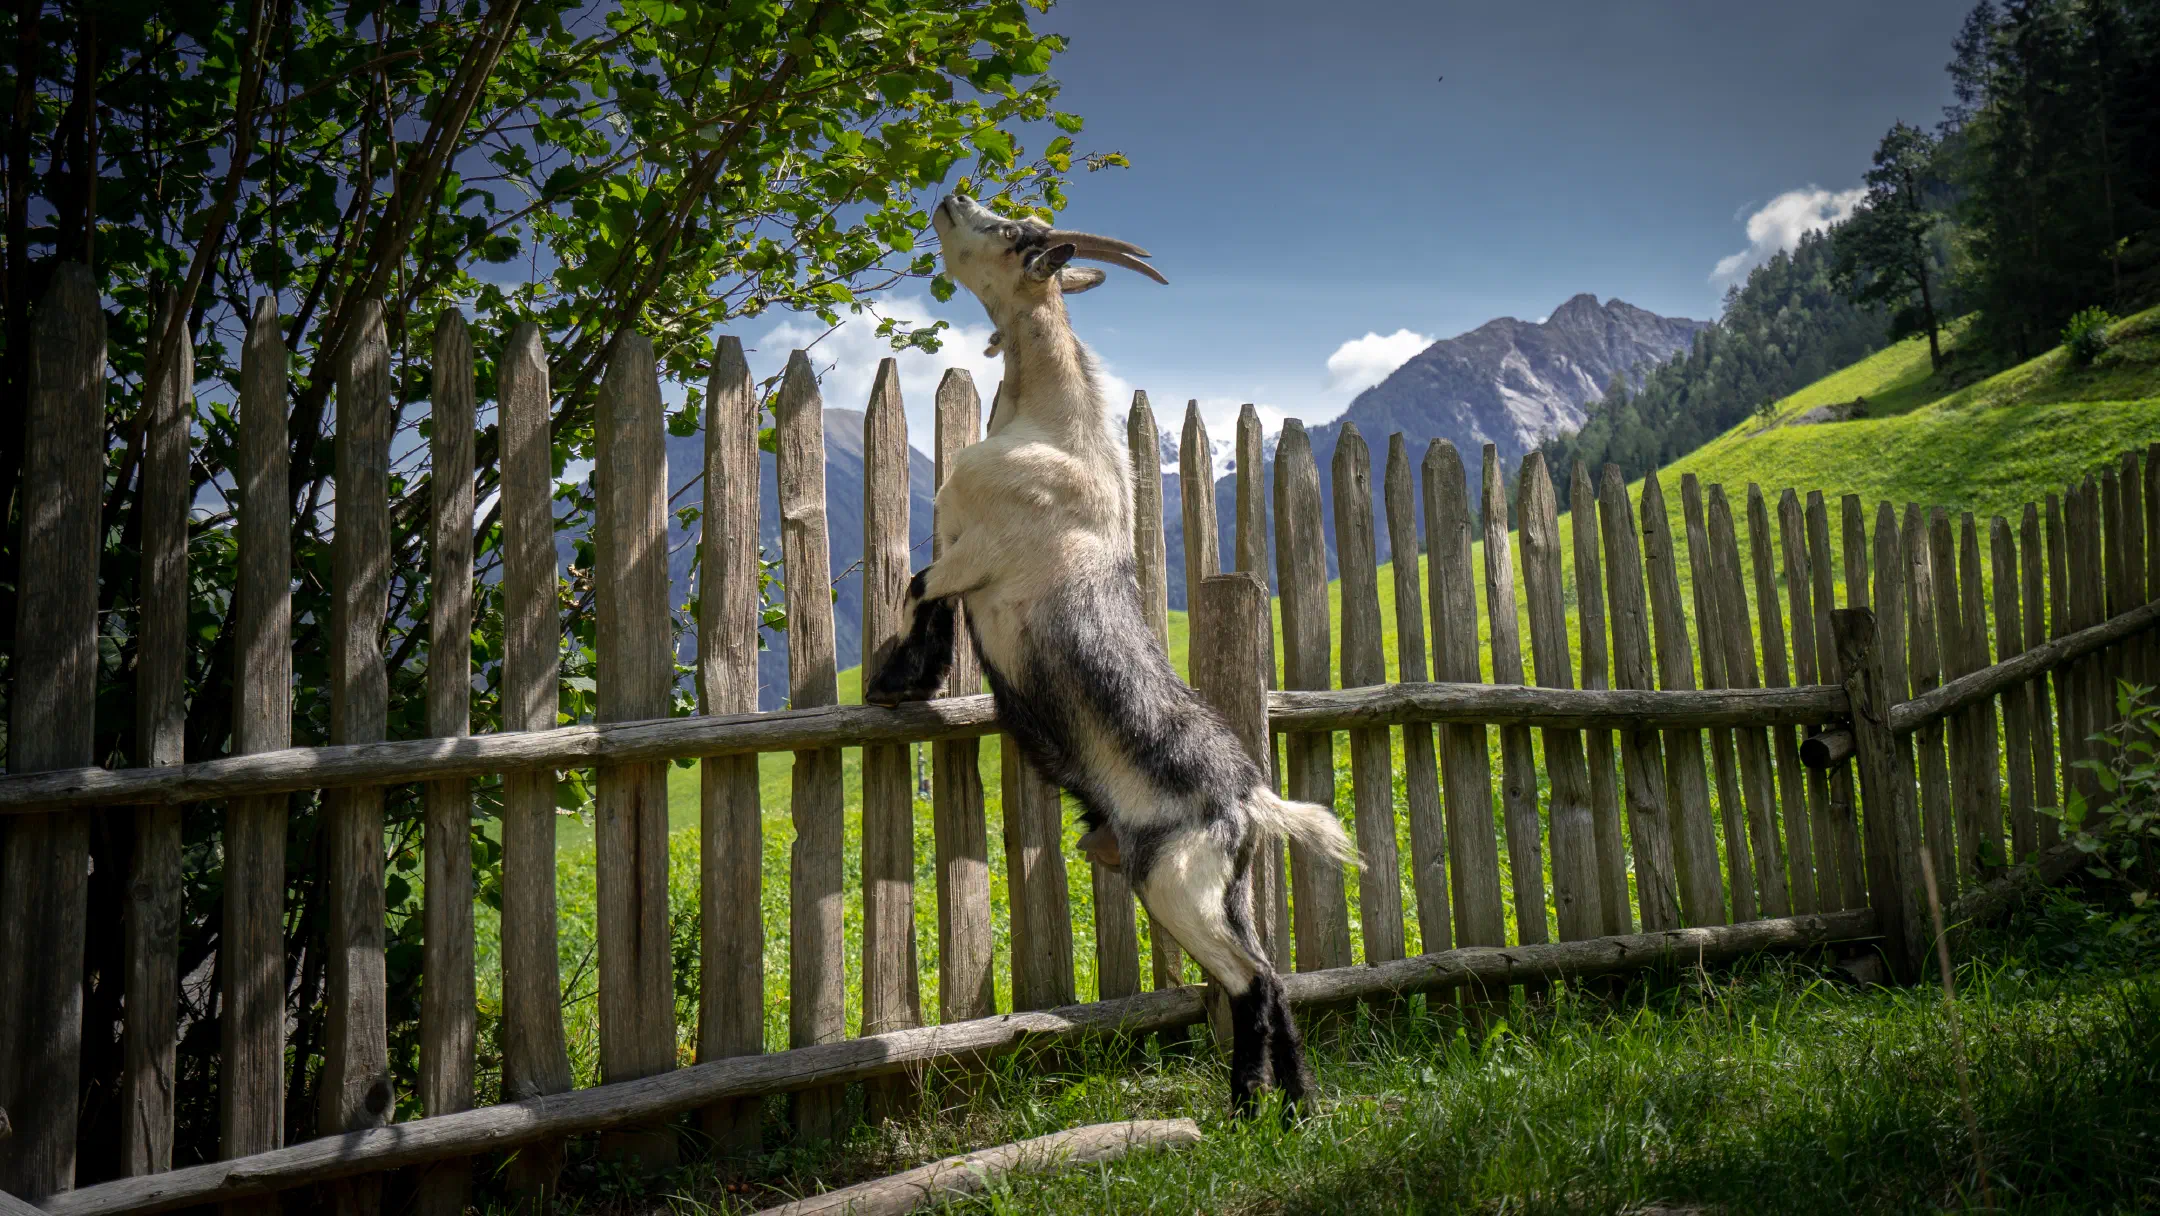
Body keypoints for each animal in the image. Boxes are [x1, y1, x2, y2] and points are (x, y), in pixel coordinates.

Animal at [865, 194, 1359, 1118]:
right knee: (1269, 979)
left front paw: (892, 679)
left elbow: (918, 586)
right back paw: (1290, 1109)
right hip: (1215, 889)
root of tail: (1251, 800)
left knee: (1254, 984)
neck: (1053, 429)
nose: (951, 200)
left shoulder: (974, 550)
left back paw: (1256, 1109)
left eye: (1016, 236)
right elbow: (928, 595)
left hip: (1178, 881)